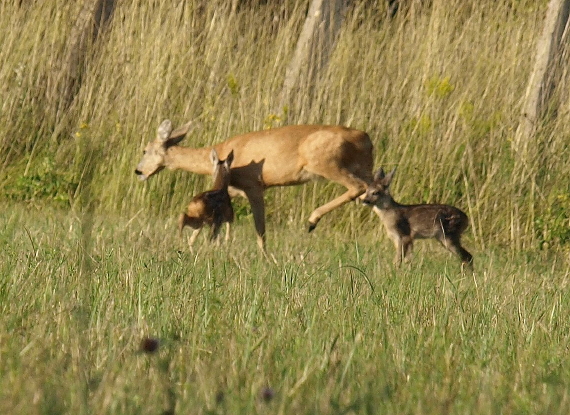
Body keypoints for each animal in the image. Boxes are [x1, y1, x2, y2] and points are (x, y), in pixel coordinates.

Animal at [135, 119, 374, 254]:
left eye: (145, 150)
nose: (138, 171)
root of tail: (365, 139)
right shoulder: (234, 190)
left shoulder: (254, 186)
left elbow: (260, 229)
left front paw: (266, 259)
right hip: (365, 169)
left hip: (325, 162)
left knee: (358, 187)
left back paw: (312, 221)